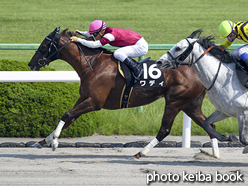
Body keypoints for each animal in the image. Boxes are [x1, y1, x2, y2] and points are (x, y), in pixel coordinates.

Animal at [28, 27, 219, 158]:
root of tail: (196, 70)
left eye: (44, 44)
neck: (93, 65)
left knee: (164, 130)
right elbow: (69, 118)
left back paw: (141, 152)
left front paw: (54, 142)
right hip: (190, 104)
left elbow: (67, 114)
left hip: (175, 101)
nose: (31, 64)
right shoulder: (84, 98)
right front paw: (43, 141)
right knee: (209, 125)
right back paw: (215, 154)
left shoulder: (95, 103)